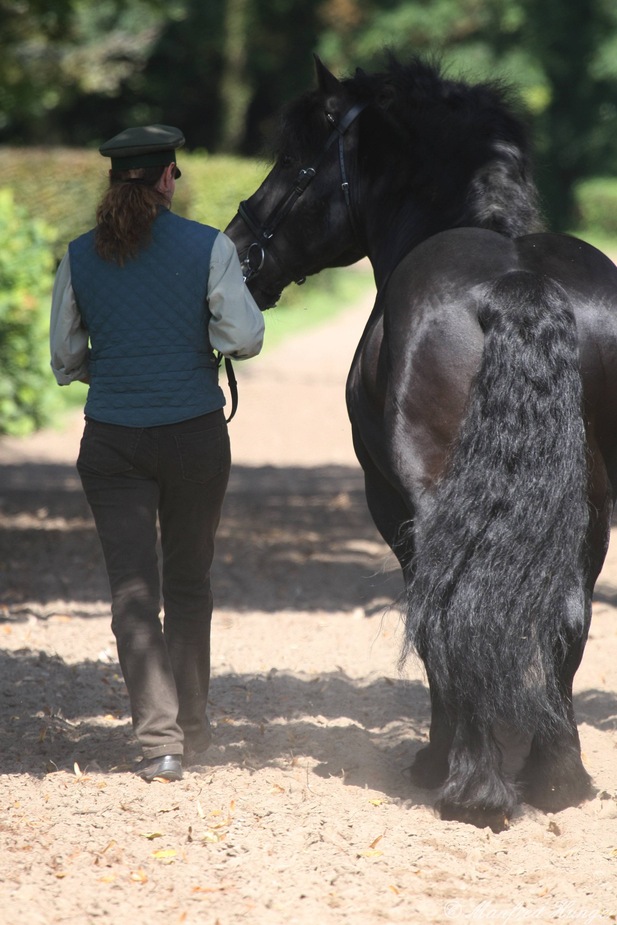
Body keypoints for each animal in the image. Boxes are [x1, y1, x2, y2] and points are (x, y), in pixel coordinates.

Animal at [224, 57, 616, 832]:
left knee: (451, 608)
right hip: (592, 501)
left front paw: (436, 763)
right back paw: (557, 779)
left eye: (296, 158)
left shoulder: (389, 500)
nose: (238, 246)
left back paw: (470, 787)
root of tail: (519, 282)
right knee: (568, 613)